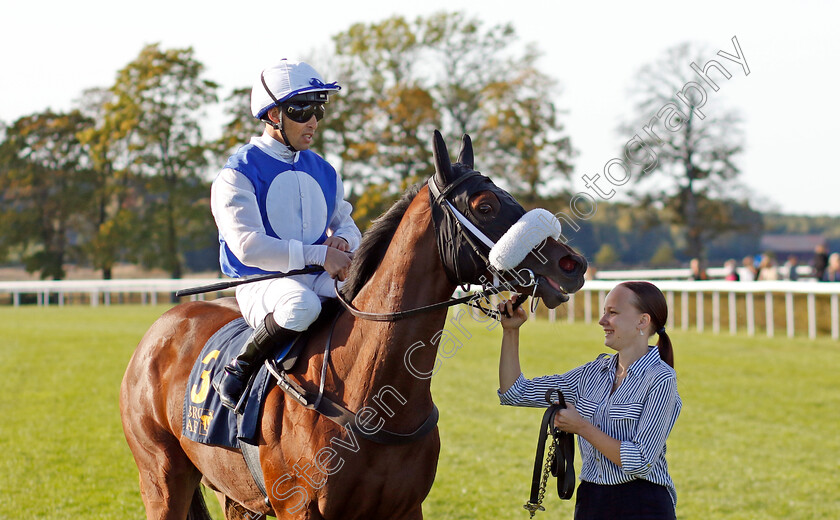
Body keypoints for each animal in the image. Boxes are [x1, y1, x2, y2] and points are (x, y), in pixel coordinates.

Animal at [120, 132, 584, 516]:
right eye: (485, 206)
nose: (572, 264)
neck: (371, 392)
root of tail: (162, 327)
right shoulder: (299, 509)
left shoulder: (404, 508)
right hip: (161, 478)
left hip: (229, 491)